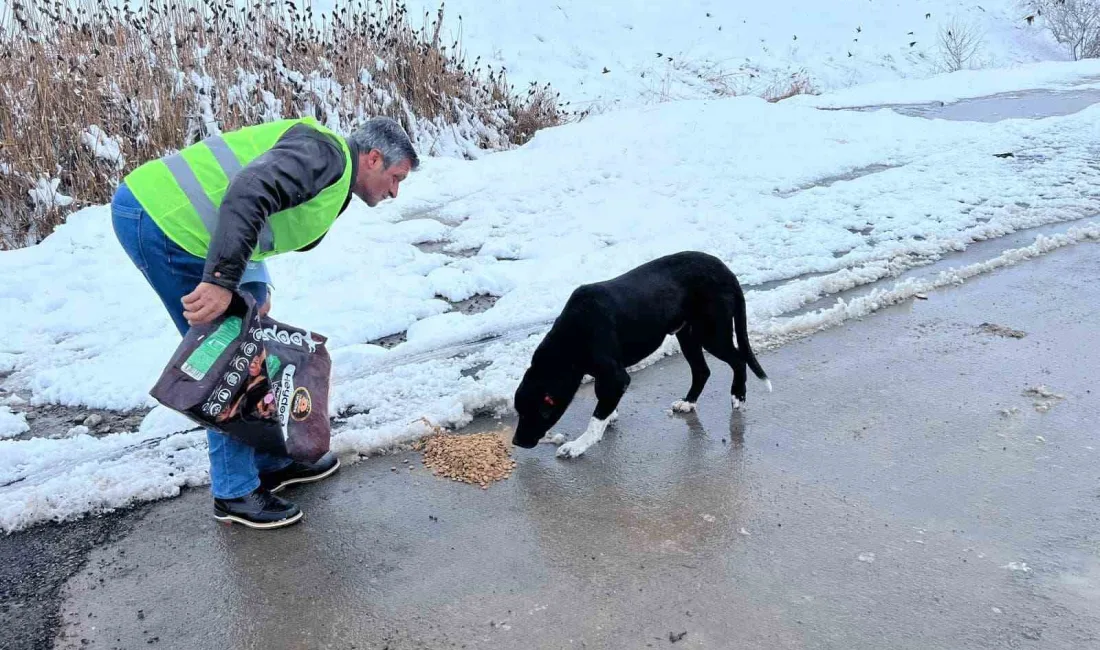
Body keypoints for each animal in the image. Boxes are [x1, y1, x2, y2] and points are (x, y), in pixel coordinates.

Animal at [510, 249, 770, 457]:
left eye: (534, 413)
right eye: (518, 412)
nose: (517, 442)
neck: (570, 340)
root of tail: (726, 271)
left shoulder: (616, 377)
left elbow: (595, 420)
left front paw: (577, 446)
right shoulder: (606, 376)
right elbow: (603, 404)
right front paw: (610, 415)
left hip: (711, 333)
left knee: (738, 360)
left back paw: (738, 396)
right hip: (688, 335)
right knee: (702, 370)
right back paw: (688, 402)